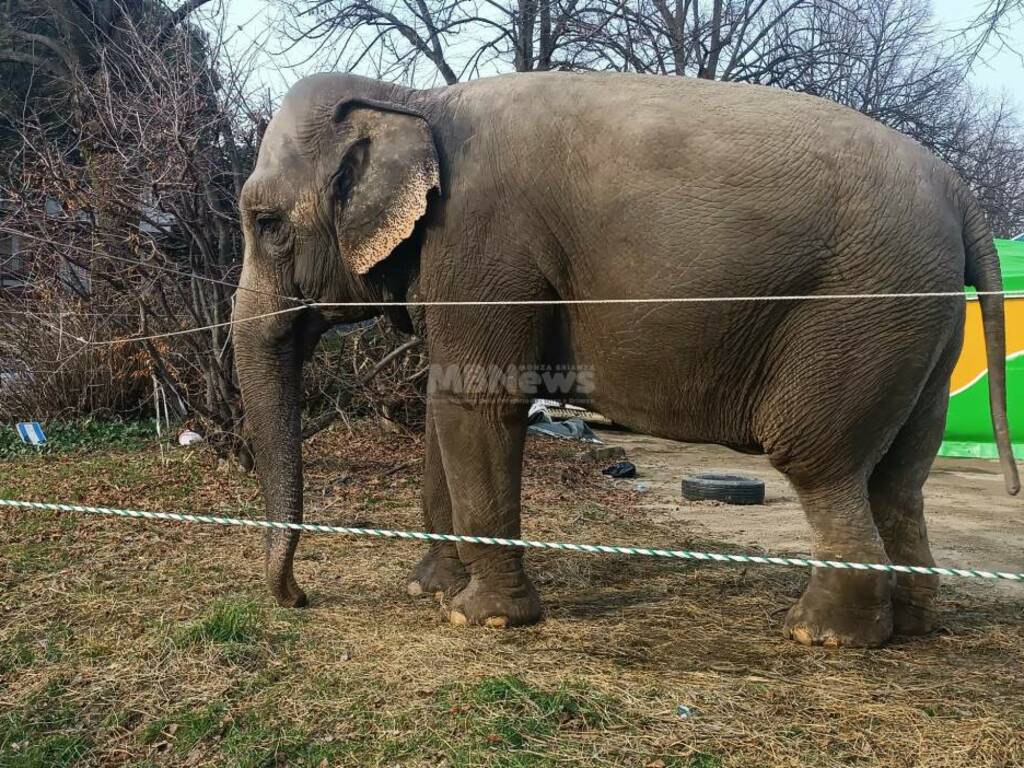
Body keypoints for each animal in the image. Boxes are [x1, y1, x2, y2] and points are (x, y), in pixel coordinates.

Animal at [235, 72, 1019, 651]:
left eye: (266, 224)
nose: (299, 598)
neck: (417, 98)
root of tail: (961, 193)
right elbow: (445, 403)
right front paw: (426, 590)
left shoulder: (485, 246)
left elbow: (479, 407)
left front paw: (479, 618)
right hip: (922, 323)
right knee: (900, 474)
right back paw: (910, 622)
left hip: (860, 311)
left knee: (821, 462)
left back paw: (819, 634)